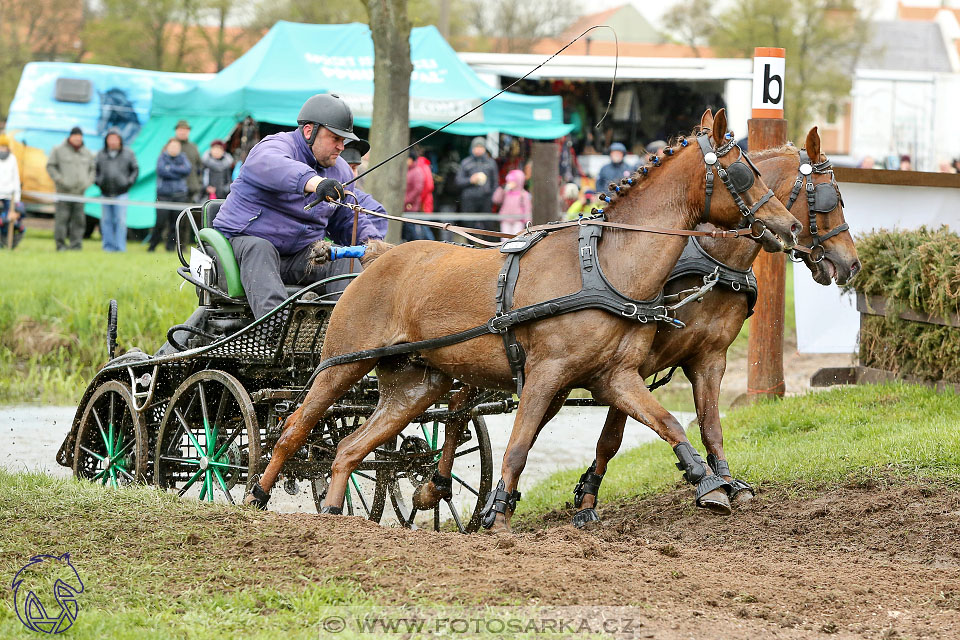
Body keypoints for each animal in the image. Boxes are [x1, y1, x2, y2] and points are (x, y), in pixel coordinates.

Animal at [244, 109, 800, 528]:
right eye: (744, 172)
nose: (790, 225)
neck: (604, 266)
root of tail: (378, 256)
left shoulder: (614, 376)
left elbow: (666, 422)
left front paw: (710, 482)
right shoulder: (546, 373)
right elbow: (517, 448)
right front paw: (497, 517)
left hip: (415, 385)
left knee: (348, 448)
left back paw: (334, 512)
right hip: (342, 364)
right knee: (295, 427)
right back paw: (255, 495)